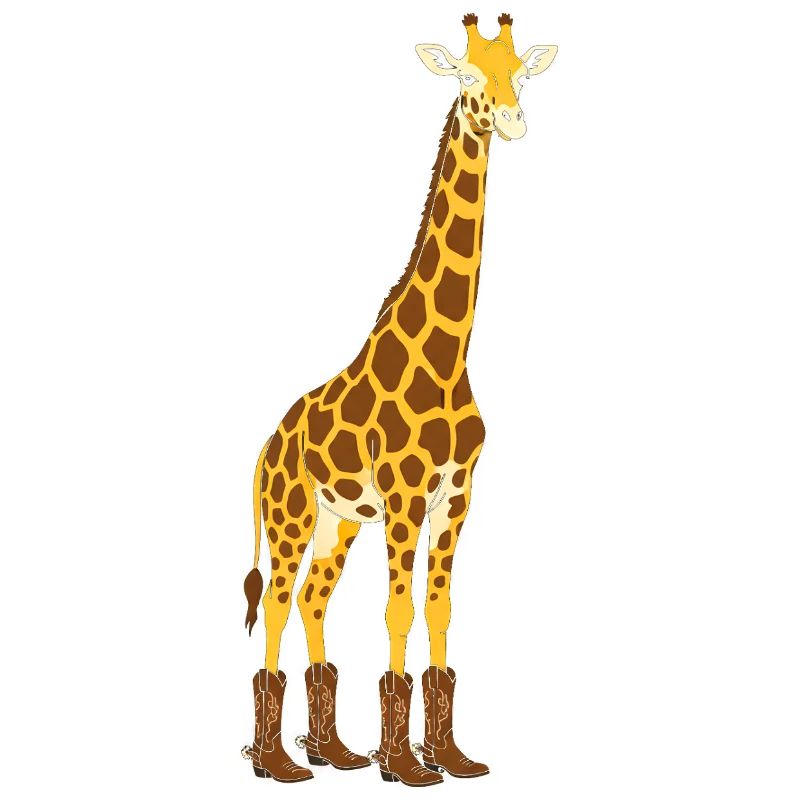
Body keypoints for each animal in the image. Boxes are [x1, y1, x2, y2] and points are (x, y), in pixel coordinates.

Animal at [241, 13, 557, 786]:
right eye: (468, 77)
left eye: (520, 75)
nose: (512, 120)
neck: (450, 357)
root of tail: (266, 444)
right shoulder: (407, 497)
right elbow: (399, 612)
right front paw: (405, 765)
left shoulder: (457, 496)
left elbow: (439, 611)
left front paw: (447, 755)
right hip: (292, 515)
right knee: (277, 602)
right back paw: (277, 761)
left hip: (338, 522)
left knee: (312, 598)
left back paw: (331, 750)